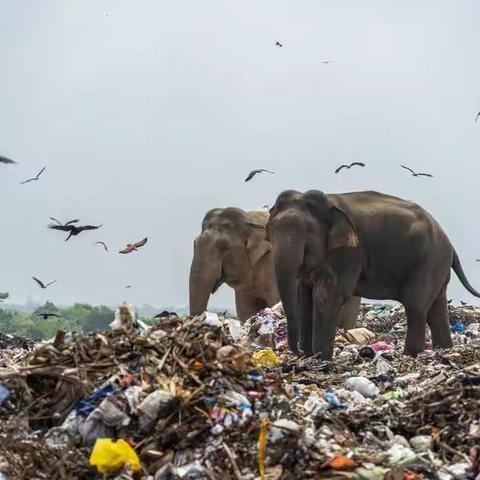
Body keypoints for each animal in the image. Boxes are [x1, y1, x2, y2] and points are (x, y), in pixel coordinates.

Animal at [266, 189, 480, 358]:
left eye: (308, 231)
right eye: (272, 229)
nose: (299, 352)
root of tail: (450, 245)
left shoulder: (349, 253)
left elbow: (327, 297)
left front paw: (320, 359)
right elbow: (304, 297)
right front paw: (311, 357)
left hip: (428, 261)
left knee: (416, 306)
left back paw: (411, 354)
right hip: (437, 267)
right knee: (436, 308)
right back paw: (444, 350)